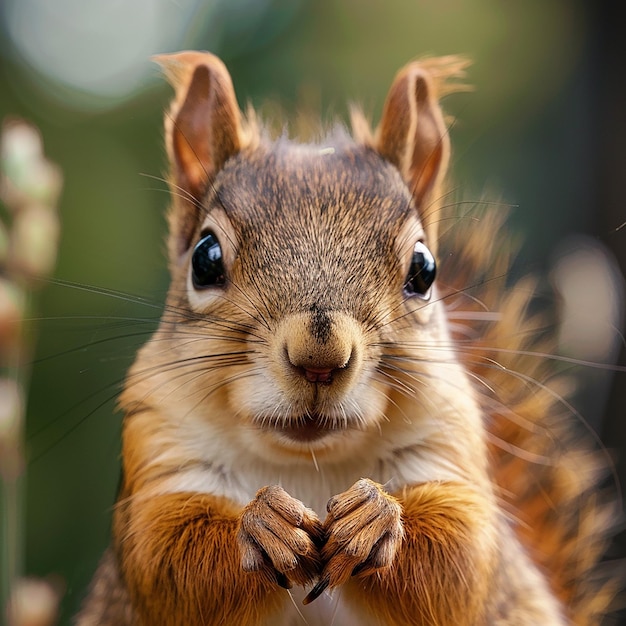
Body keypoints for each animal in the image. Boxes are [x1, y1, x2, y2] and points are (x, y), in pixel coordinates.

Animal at [74, 51, 616, 620]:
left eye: (424, 270)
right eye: (205, 258)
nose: (320, 358)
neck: (308, 462)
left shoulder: (451, 448)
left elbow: (462, 558)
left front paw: (375, 518)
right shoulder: (159, 453)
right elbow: (166, 556)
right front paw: (262, 524)